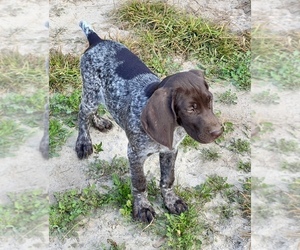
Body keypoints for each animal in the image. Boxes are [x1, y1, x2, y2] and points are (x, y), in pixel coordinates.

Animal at [75, 21, 223, 224]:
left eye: (210, 101)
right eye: (190, 109)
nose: (218, 131)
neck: (174, 128)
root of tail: (97, 40)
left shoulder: (170, 150)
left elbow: (167, 178)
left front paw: (171, 200)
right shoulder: (134, 153)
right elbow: (140, 183)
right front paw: (143, 207)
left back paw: (99, 122)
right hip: (91, 92)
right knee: (83, 113)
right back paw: (83, 142)